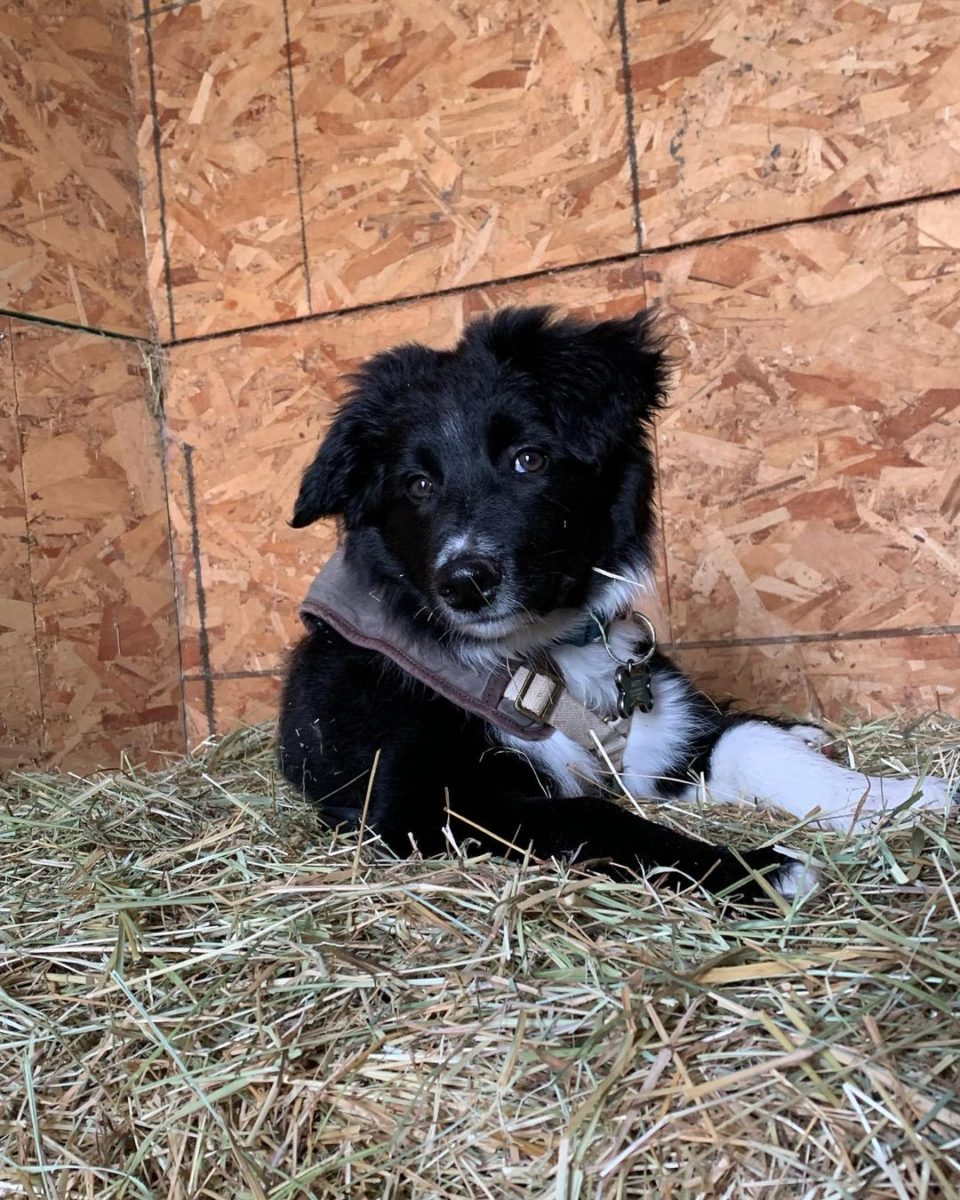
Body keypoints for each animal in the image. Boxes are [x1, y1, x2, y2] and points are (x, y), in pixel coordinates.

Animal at [277, 309, 950, 902]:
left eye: (529, 459)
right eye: (417, 486)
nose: (464, 583)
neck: (540, 658)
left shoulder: (664, 738)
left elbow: (758, 744)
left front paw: (898, 795)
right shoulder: (423, 805)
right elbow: (592, 817)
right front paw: (758, 870)